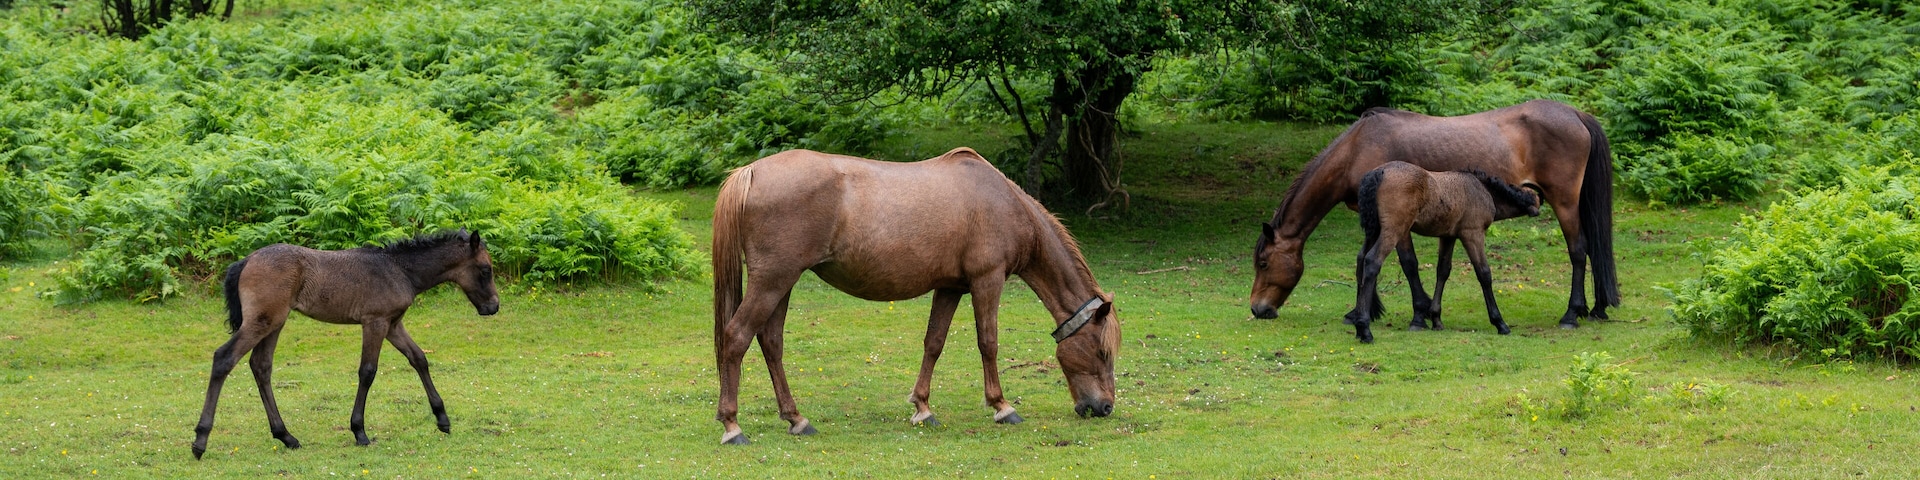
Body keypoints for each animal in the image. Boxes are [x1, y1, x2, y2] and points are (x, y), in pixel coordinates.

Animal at [190, 230, 500, 459]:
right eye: (485, 270)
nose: (493, 307)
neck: (399, 269)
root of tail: (245, 261)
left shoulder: (393, 324)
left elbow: (419, 358)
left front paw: (442, 419)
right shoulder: (375, 322)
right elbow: (368, 371)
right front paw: (359, 431)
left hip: (274, 323)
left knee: (261, 366)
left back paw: (286, 436)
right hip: (263, 321)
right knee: (224, 358)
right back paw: (200, 441)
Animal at [711, 147, 1121, 445]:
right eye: (1102, 352)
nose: (1104, 407)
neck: (1002, 202)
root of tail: (751, 172)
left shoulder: (951, 287)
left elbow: (934, 343)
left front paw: (922, 407)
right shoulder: (987, 281)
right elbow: (988, 342)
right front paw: (1002, 406)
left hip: (782, 284)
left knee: (771, 342)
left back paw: (796, 418)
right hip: (773, 281)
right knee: (736, 337)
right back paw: (732, 426)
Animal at [1344, 162, 1541, 343]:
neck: (1481, 189)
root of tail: (1378, 173)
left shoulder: (1448, 237)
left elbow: (1443, 271)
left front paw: (1436, 319)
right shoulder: (1472, 233)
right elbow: (1484, 273)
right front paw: (1499, 322)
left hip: (1374, 230)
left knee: (1361, 259)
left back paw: (1358, 322)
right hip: (1393, 230)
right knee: (1372, 261)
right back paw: (1364, 329)